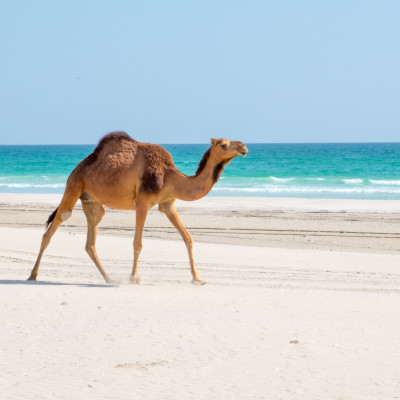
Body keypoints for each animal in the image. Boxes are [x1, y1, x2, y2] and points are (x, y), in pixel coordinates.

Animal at [28, 133, 247, 286]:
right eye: (223, 144)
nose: (243, 146)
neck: (171, 177)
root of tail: (77, 168)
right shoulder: (142, 202)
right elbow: (137, 243)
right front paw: (134, 278)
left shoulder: (168, 204)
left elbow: (188, 238)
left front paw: (197, 278)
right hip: (74, 186)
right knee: (53, 227)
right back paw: (32, 275)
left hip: (91, 201)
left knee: (90, 240)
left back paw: (109, 278)